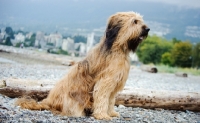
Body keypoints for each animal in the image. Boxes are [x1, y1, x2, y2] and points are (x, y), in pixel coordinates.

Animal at [16, 11, 150, 119]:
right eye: (135, 21)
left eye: (140, 20)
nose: (148, 29)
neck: (118, 48)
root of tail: (48, 102)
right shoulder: (105, 81)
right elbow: (102, 97)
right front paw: (102, 115)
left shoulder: (114, 84)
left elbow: (111, 100)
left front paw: (111, 113)